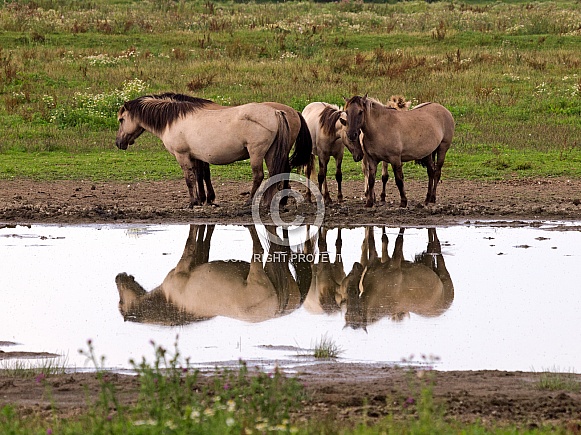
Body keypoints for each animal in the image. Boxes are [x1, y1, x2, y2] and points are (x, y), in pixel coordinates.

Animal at [114, 92, 312, 208]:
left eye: (121, 120)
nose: (118, 143)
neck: (174, 120)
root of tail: (277, 112)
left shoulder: (182, 156)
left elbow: (190, 178)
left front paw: (193, 202)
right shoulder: (197, 156)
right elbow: (201, 175)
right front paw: (205, 199)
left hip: (257, 152)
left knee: (259, 175)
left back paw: (251, 202)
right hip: (271, 152)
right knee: (275, 173)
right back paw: (270, 202)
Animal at [115, 227, 310, 326]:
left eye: (121, 302)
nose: (118, 277)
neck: (171, 298)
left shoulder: (183, 267)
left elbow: (191, 242)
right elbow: (203, 241)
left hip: (257, 271)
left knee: (258, 248)